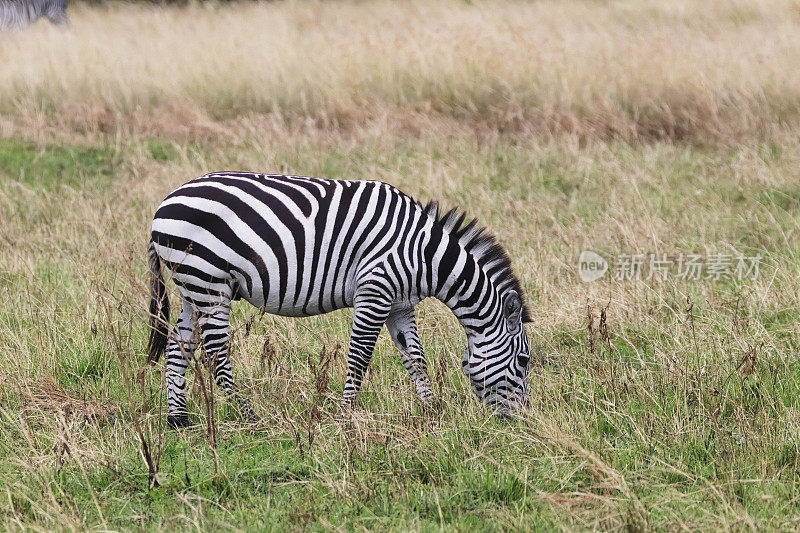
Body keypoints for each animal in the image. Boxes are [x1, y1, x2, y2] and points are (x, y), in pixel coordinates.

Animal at [147, 172, 536, 426]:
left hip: (192, 286)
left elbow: (415, 358)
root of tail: (165, 202)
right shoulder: (374, 291)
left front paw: (431, 412)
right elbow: (359, 358)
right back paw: (248, 416)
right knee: (216, 353)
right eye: (524, 361)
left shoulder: (400, 305)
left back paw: (178, 420)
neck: (426, 254)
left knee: (178, 346)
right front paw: (346, 417)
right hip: (209, 282)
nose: (519, 422)